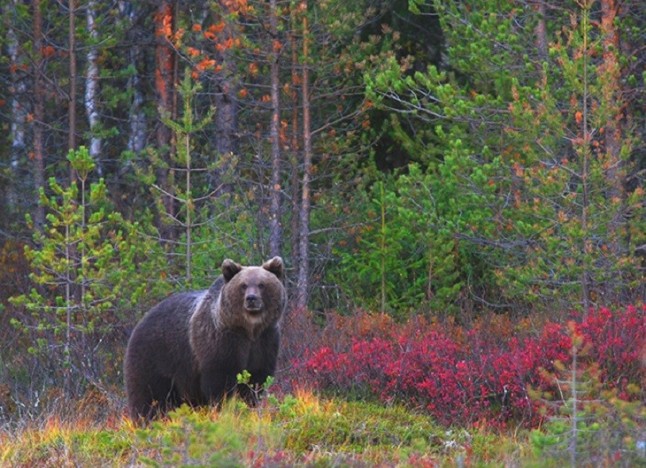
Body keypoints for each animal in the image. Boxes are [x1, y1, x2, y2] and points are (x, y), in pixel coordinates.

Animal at [124, 256, 286, 422]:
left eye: (261, 284)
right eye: (243, 285)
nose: (251, 299)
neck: (249, 329)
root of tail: (140, 322)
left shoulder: (265, 341)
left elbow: (256, 380)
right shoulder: (221, 341)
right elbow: (220, 382)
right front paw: (225, 409)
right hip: (153, 358)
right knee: (148, 397)